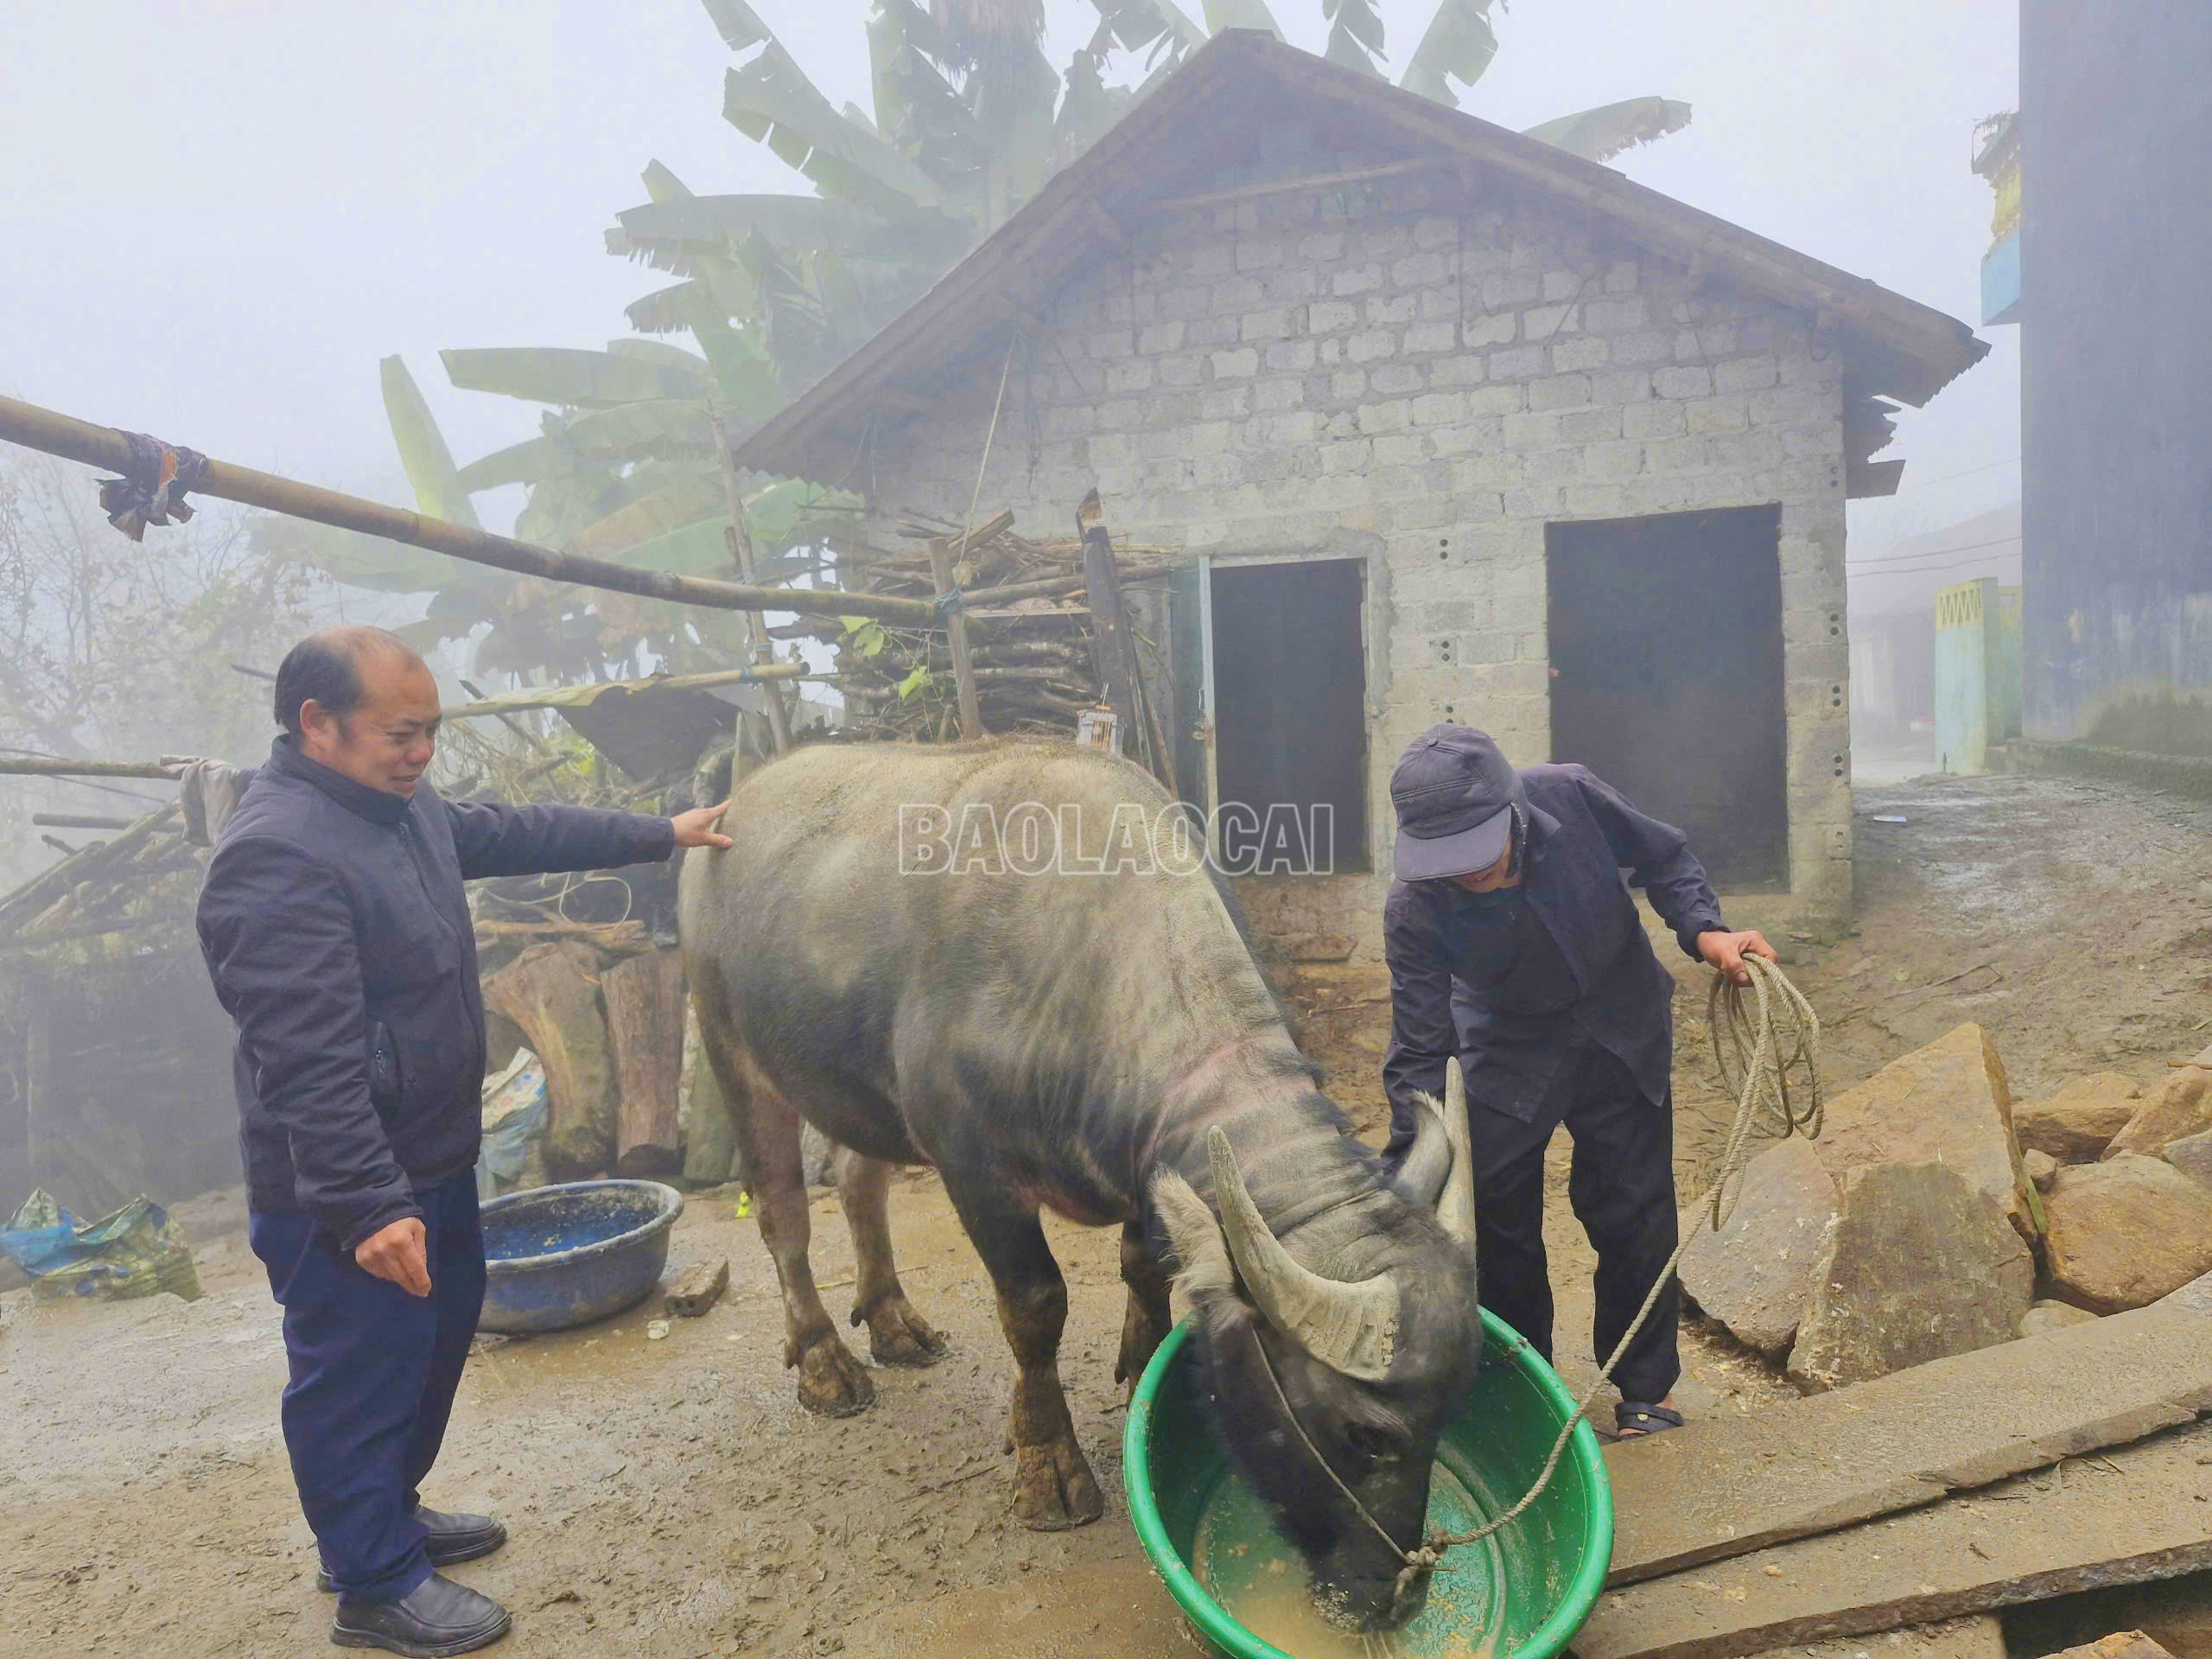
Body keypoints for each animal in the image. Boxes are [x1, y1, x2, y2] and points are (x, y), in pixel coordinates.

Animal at [681, 747, 1478, 1628]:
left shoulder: (1146, 1173)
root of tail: (736, 802)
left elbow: (1145, 1267)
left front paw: (1137, 1380)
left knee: (859, 1182)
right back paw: (825, 1364)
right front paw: (1047, 1464)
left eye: (1452, 1408)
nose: (1398, 1592)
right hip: (730, 1048)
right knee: (782, 1212)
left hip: (859, 1094)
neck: (1087, 973)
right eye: (1363, 1434)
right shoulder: (975, 1171)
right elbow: (1035, 1308)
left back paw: (893, 1323)